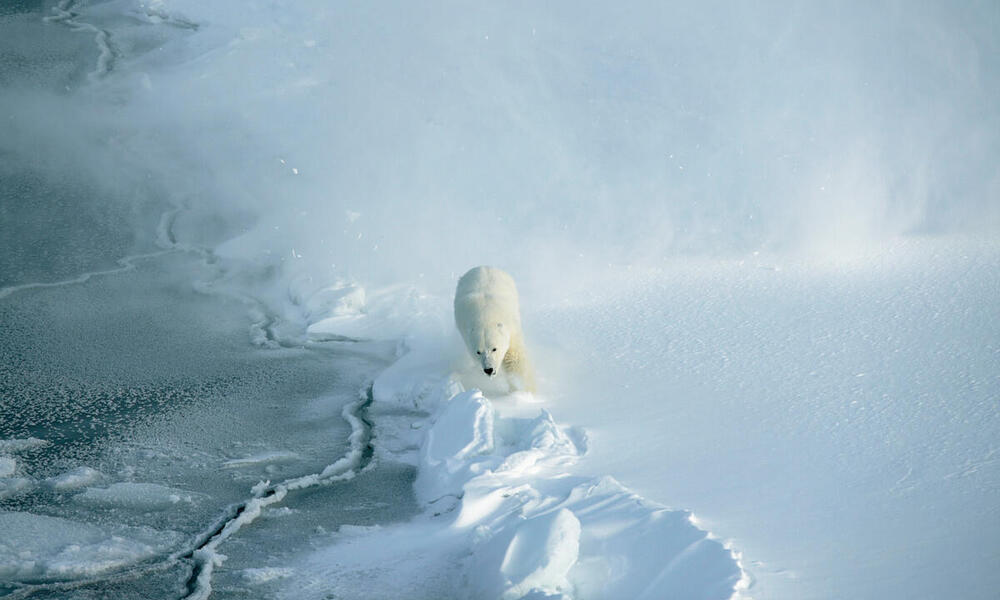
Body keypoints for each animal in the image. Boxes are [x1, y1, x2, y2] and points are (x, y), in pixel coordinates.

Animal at [456, 264, 536, 392]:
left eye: (494, 348)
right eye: (478, 352)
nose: (489, 370)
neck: (485, 316)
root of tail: (483, 266)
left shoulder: (511, 327)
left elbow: (514, 358)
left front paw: (526, 389)